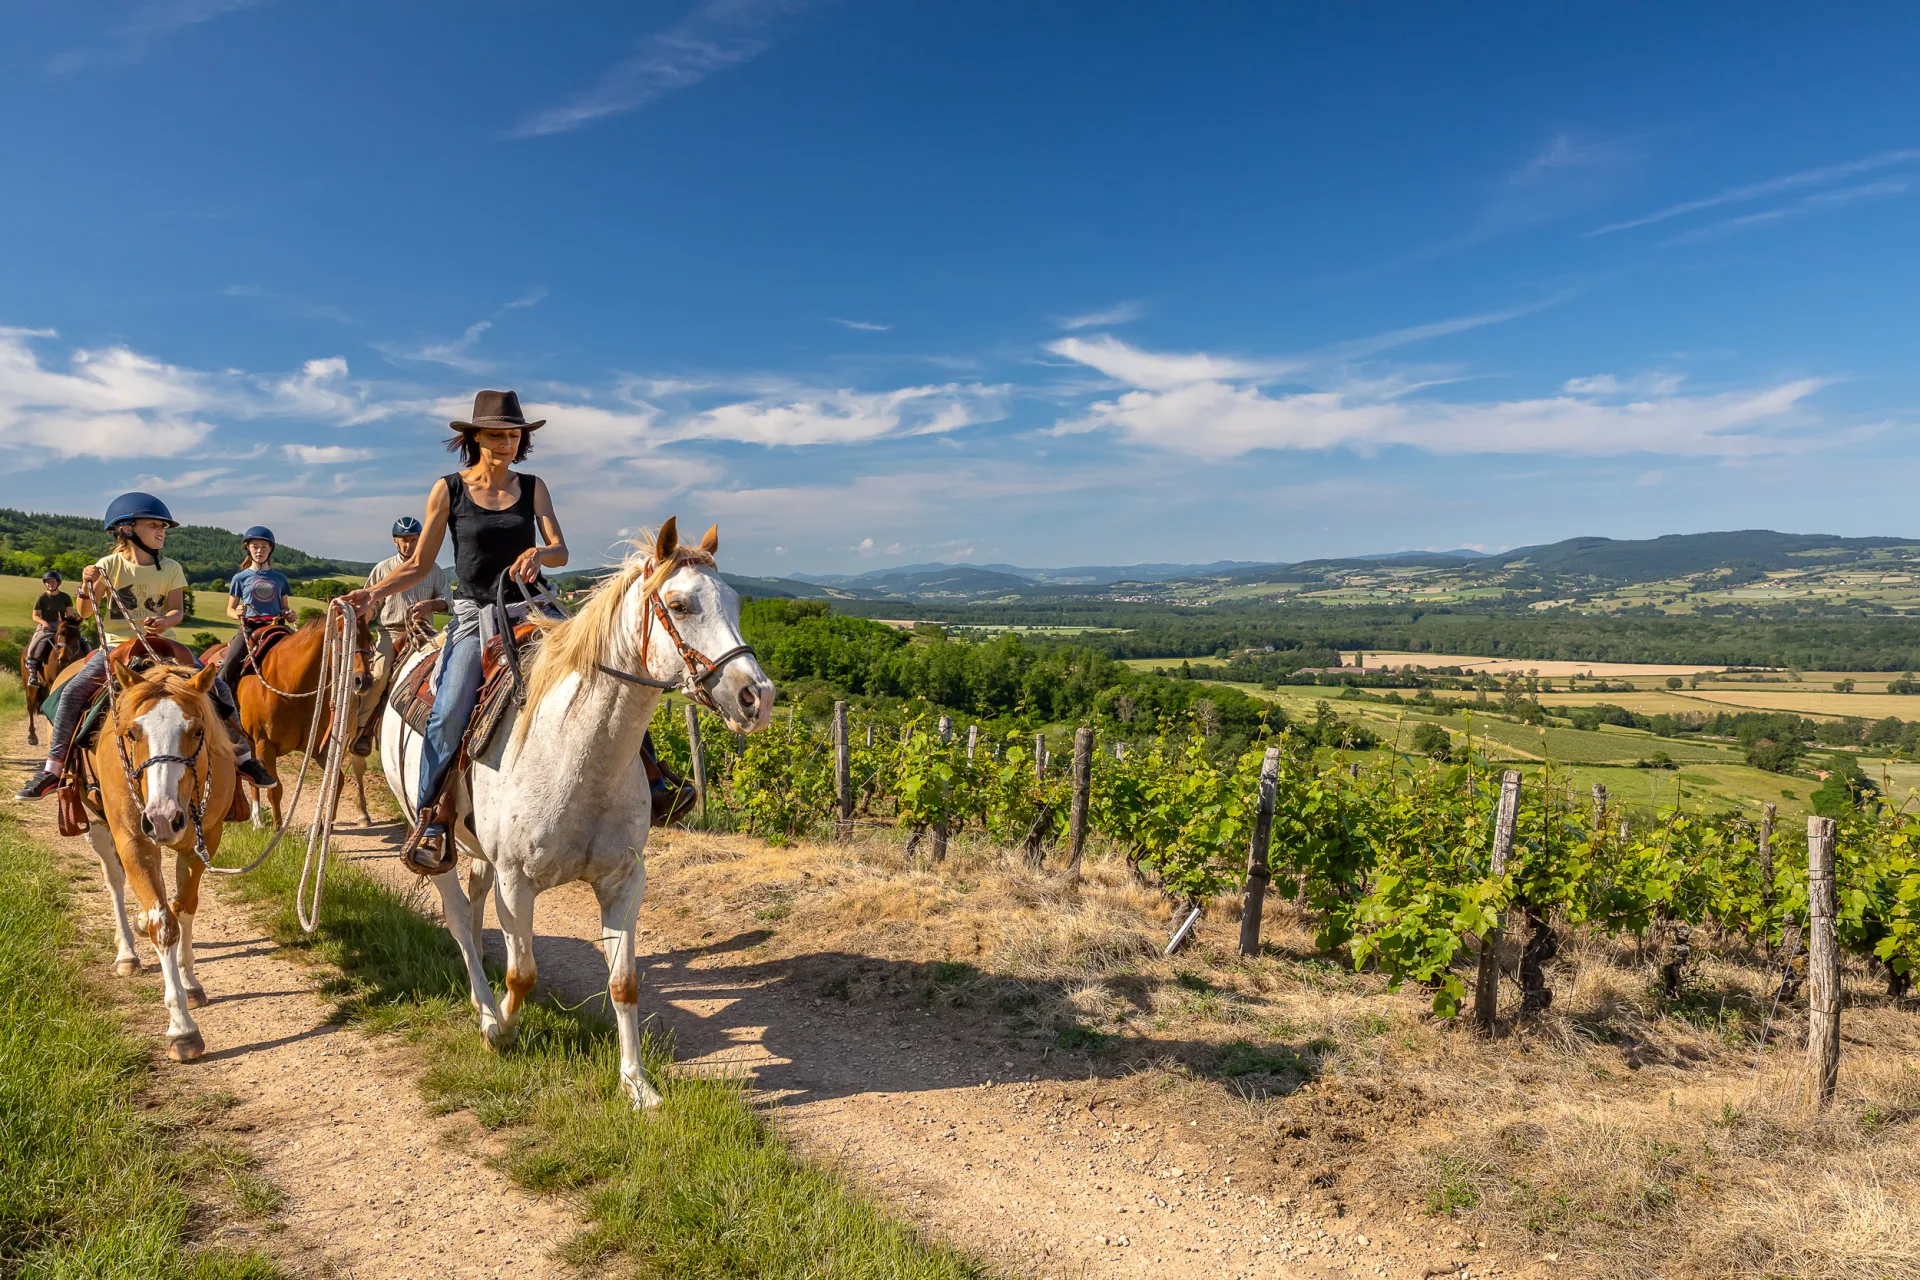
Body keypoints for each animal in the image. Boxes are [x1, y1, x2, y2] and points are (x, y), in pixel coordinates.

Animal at [79, 660, 238, 1059]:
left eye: (197, 731)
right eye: (132, 733)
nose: (163, 818)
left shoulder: (203, 841)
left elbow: (183, 909)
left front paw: (190, 982)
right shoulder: (134, 841)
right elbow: (163, 924)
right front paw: (182, 1028)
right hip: (99, 825)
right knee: (115, 881)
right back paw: (126, 952)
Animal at [217, 617, 374, 832]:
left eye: (370, 639)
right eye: (343, 637)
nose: (363, 681)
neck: (290, 683)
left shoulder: (319, 748)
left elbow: (337, 781)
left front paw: (322, 825)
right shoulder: (265, 745)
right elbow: (275, 789)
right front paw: (277, 829)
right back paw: (257, 821)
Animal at [374, 514, 771, 1105]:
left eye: (738, 602)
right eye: (679, 605)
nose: (758, 697)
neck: (577, 751)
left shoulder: (624, 881)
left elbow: (624, 982)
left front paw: (637, 1084)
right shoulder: (517, 881)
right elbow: (523, 973)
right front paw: (503, 1031)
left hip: (477, 850)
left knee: (473, 903)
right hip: (429, 838)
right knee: (459, 919)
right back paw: (485, 1008)